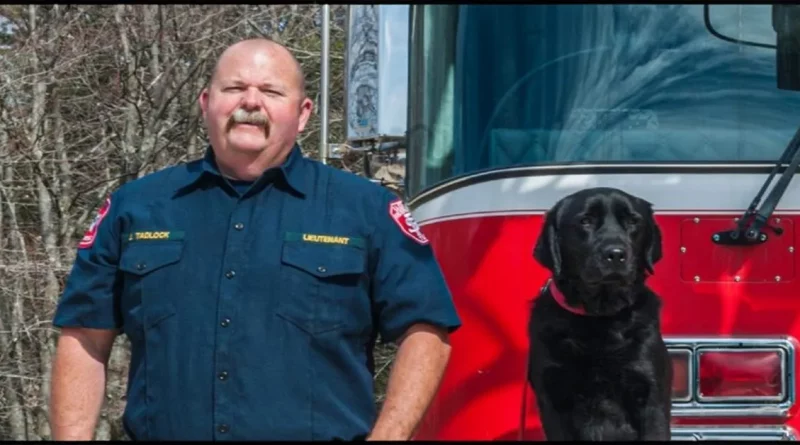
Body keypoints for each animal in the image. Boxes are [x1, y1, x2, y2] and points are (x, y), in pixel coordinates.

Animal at [528, 186, 672, 438]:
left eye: (632, 221)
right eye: (586, 221)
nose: (615, 254)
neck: (599, 318)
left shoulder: (651, 395)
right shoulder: (553, 398)